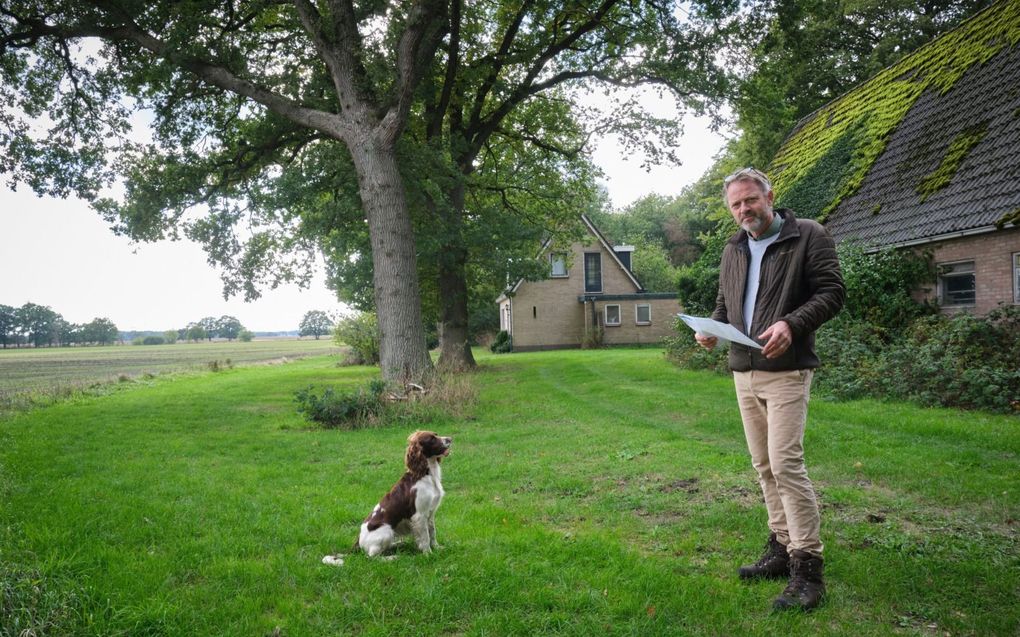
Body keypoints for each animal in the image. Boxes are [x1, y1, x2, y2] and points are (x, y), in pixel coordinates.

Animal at [322, 430, 450, 562]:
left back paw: (398, 544)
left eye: (436, 434)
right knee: (372, 556)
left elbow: (432, 532)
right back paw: (392, 557)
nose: (450, 439)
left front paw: (437, 548)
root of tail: (358, 543)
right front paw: (428, 554)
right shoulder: (419, 515)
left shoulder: (430, 513)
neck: (426, 474)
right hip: (387, 530)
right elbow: (425, 537)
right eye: (431, 439)